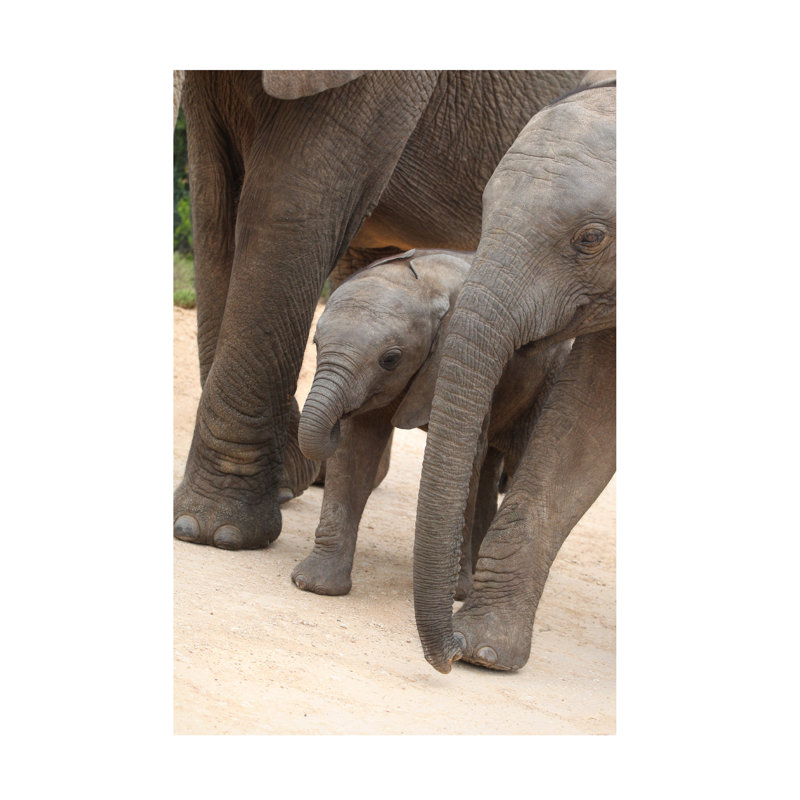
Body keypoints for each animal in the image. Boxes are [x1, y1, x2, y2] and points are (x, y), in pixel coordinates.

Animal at [292, 249, 571, 599]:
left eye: (390, 359)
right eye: (316, 343)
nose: (334, 424)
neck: (426, 283)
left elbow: (465, 456)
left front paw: (456, 595)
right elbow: (356, 446)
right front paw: (313, 585)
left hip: (550, 375)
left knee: (518, 458)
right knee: (489, 465)